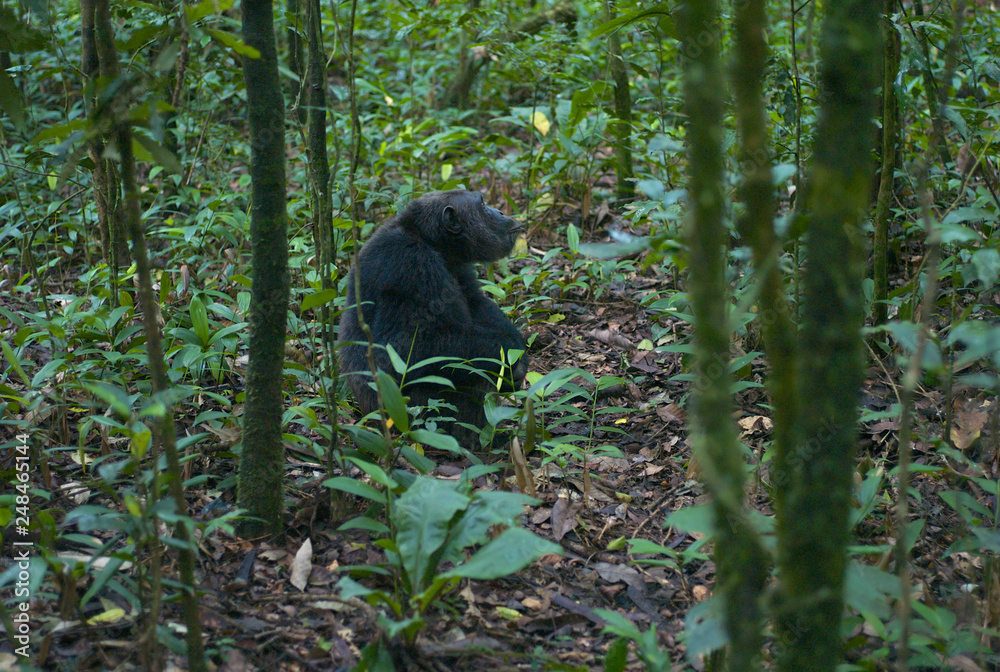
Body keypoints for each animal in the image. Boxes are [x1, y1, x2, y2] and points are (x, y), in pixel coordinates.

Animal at [338, 189, 528, 450]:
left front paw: (520, 356)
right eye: (482, 204)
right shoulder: (407, 263)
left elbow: (478, 303)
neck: (432, 242)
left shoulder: (460, 266)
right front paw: (512, 349)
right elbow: (405, 345)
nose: (498, 211)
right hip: (410, 413)